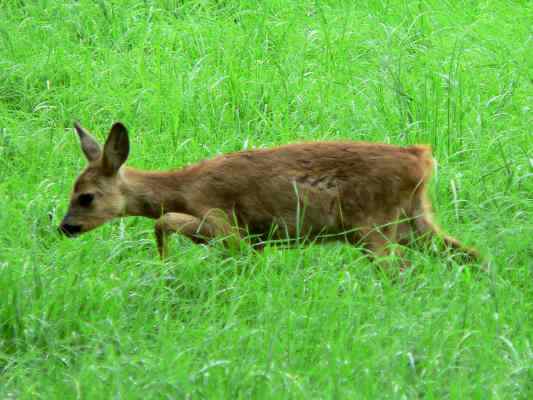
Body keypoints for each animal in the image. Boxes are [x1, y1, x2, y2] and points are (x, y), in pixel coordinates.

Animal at [58, 119, 478, 262]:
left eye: (86, 196)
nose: (65, 227)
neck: (182, 186)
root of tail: (422, 159)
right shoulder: (258, 239)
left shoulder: (222, 222)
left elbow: (161, 222)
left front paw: (165, 264)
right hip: (414, 220)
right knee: (471, 254)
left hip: (371, 225)